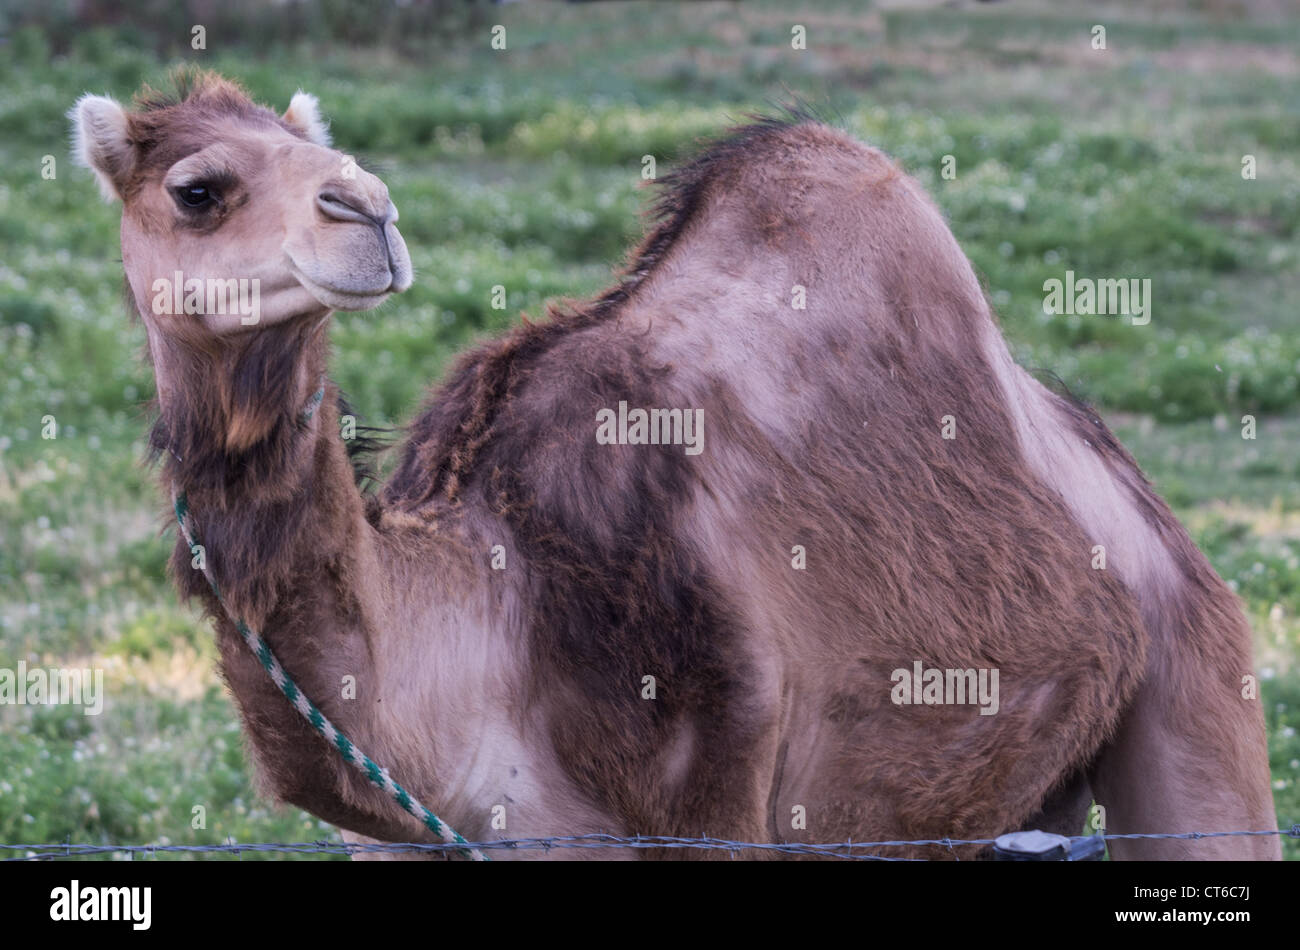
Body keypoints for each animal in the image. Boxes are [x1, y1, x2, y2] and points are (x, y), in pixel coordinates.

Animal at [71, 71, 1279, 860]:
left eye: (318, 153)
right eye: (196, 188)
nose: (365, 210)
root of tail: (1142, 506)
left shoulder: (719, 784)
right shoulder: (403, 839)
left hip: (1193, 688)